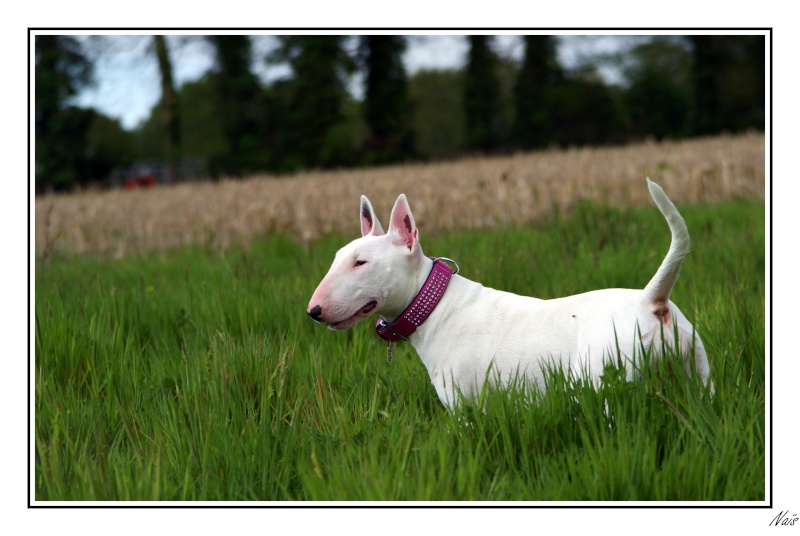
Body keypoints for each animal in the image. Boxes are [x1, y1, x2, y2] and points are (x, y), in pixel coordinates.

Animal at [308, 178, 712, 408]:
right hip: (697, 371)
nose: (314, 310)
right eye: (337, 258)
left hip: (608, 380)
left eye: (361, 262)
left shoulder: (464, 404)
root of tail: (650, 300)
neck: (434, 305)